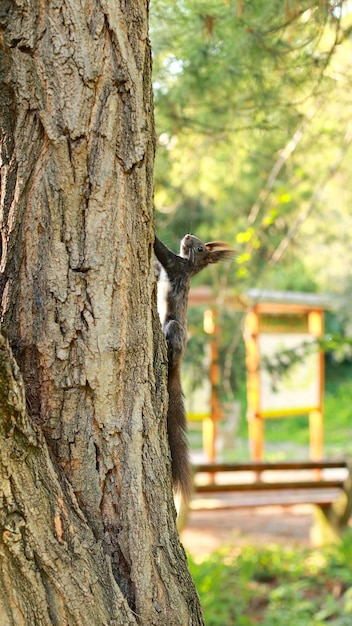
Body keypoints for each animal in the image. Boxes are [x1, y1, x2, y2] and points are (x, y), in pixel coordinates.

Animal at [155, 232, 235, 500]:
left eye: (200, 248)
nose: (188, 236)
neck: (190, 266)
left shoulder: (175, 265)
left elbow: (161, 252)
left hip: (173, 327)